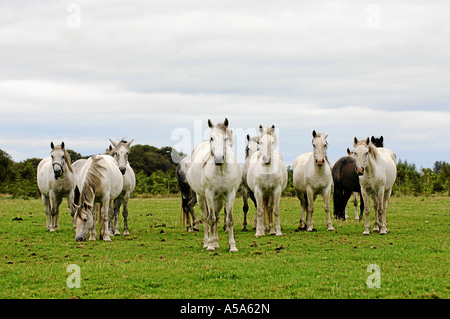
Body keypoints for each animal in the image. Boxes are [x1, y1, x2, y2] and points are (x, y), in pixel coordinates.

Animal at [186, 119, 243, 254]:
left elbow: (229, 220)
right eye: (211, 138)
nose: (218, 159)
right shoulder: (209, 194)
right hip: (201, 197)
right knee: (205, 218)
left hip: (220, 199)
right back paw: (207, 242)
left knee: (216, 217)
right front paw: (210, 246)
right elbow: (210, 219)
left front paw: (232, 246)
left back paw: (216, 242)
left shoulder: (230, 195)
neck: (221, 170)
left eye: (226, 138)